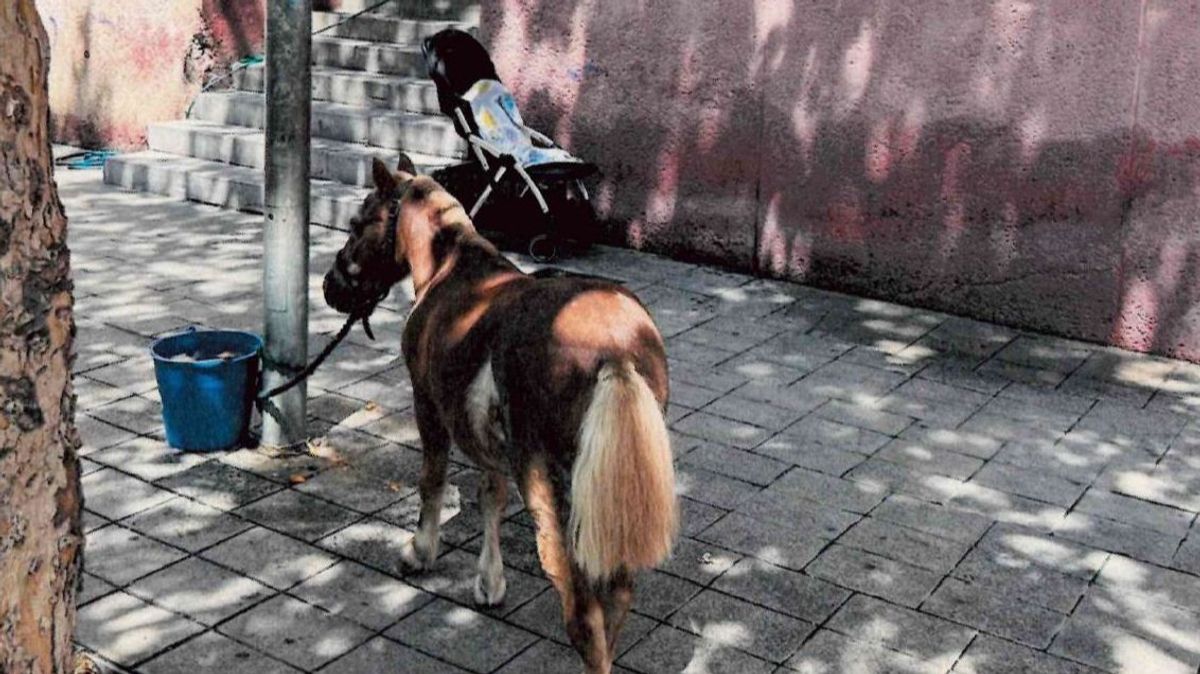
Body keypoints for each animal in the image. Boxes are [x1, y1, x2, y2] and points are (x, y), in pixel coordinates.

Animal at [321, 154, 676, 666]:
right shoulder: (487, 434)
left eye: (356, 224)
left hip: (544, 474)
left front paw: (419, 553)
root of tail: (616, 351)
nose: (331, 289)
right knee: (618, 592)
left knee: (579, 603)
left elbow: (432, 481)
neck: (450, 268)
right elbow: (491, 494)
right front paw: (489, 583)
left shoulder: (428, 404)